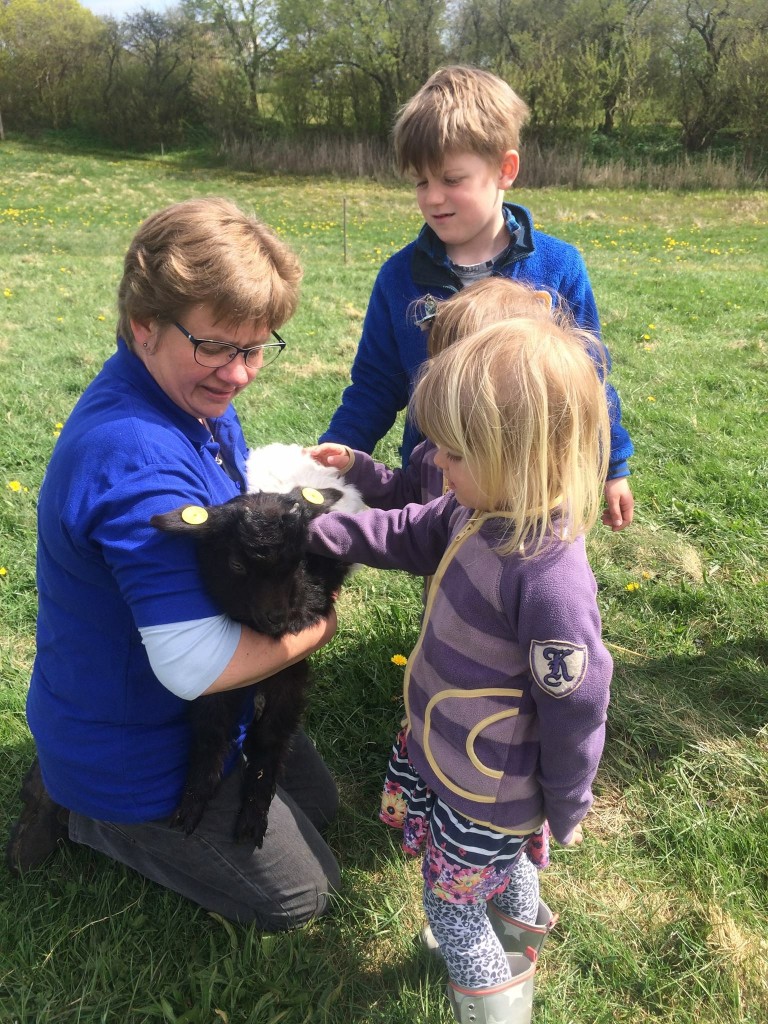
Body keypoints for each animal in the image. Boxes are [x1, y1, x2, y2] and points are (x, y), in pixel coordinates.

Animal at [149, 485, 352, 847]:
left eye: (299, 560)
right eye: (236, 565)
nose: (277, 618)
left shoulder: (290, 670)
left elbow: (272, 736)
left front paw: (253, 816)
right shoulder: (219, 674)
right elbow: (211, 728)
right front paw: (193, 800)